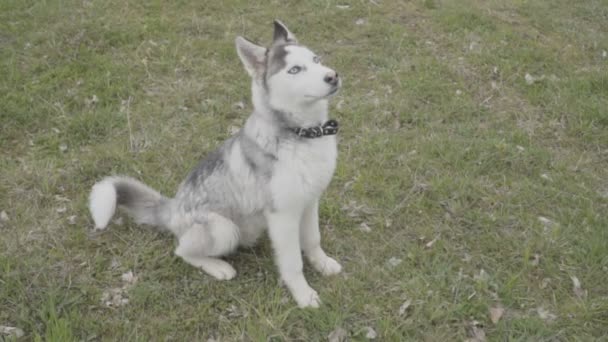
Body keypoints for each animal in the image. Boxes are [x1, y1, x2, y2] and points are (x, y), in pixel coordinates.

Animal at [88, 20, 342, 308]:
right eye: (295, 70)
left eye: (316, 59)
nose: (333, 76)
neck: (302, 134)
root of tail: (172, 208)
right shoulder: (283, 215)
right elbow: (292, 263)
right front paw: (303, 295)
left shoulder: (309, 202)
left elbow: (312, 240)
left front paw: (323, 264)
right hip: (224, 228)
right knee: (181, 251)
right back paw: (218, 267)